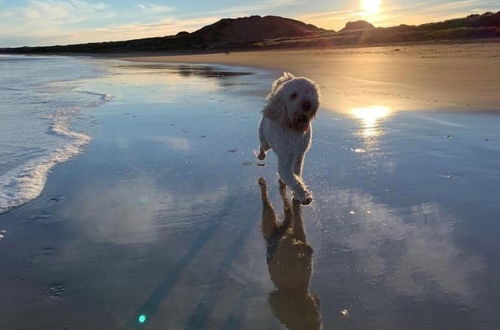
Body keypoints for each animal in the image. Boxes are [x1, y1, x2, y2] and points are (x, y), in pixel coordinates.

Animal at [258, 73, 320, 205]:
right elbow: (294, 180)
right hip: (265, 139)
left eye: (309, 91)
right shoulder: (285, 161)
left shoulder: (299, 156)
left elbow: (296, 175)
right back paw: (261, 155)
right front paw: (304, 195)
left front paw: (296, 194)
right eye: (293, 95)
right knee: (263, 145)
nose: (307, 104)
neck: (294, 127)